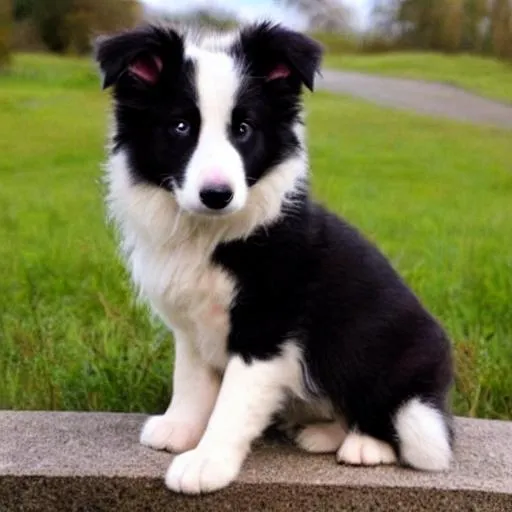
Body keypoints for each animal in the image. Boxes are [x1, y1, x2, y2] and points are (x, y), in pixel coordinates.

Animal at [94, 22, 454, 494]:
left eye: (244, 129)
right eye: (180, 127)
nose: (217, 195)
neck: (212, 235)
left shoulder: (266, 331)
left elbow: (232, 403)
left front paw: (206, 463)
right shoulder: (191, 323)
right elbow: (190, 379)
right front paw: (180, 428)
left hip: (377, 349)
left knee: (406, 425)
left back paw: (365, 445)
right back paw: (322, 433)